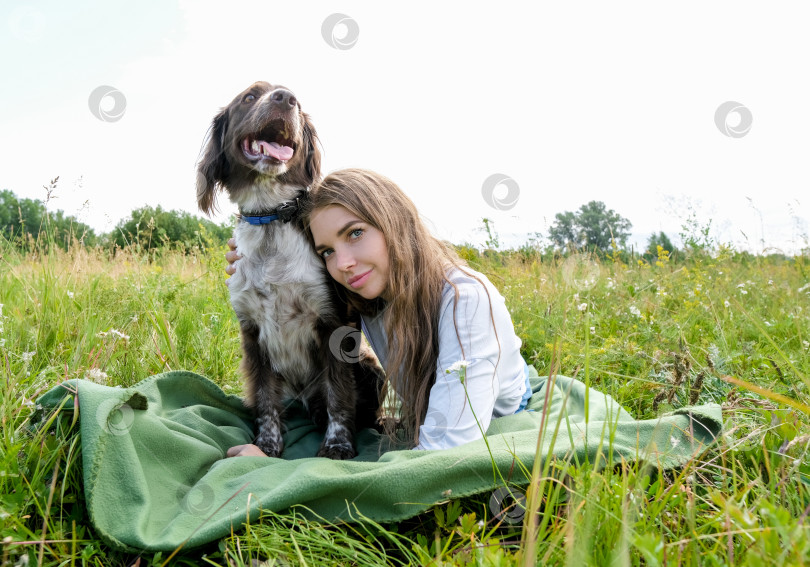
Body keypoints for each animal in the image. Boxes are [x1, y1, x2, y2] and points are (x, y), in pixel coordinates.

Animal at [198, 81, 382, 462]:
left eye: (296, 101)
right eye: (250, 97)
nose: (286, 98)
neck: (270, 217)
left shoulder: (333, 325)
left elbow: (339, 394)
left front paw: (338, 445)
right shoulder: (252, 332)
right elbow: (265, 398)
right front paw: (266, 444)